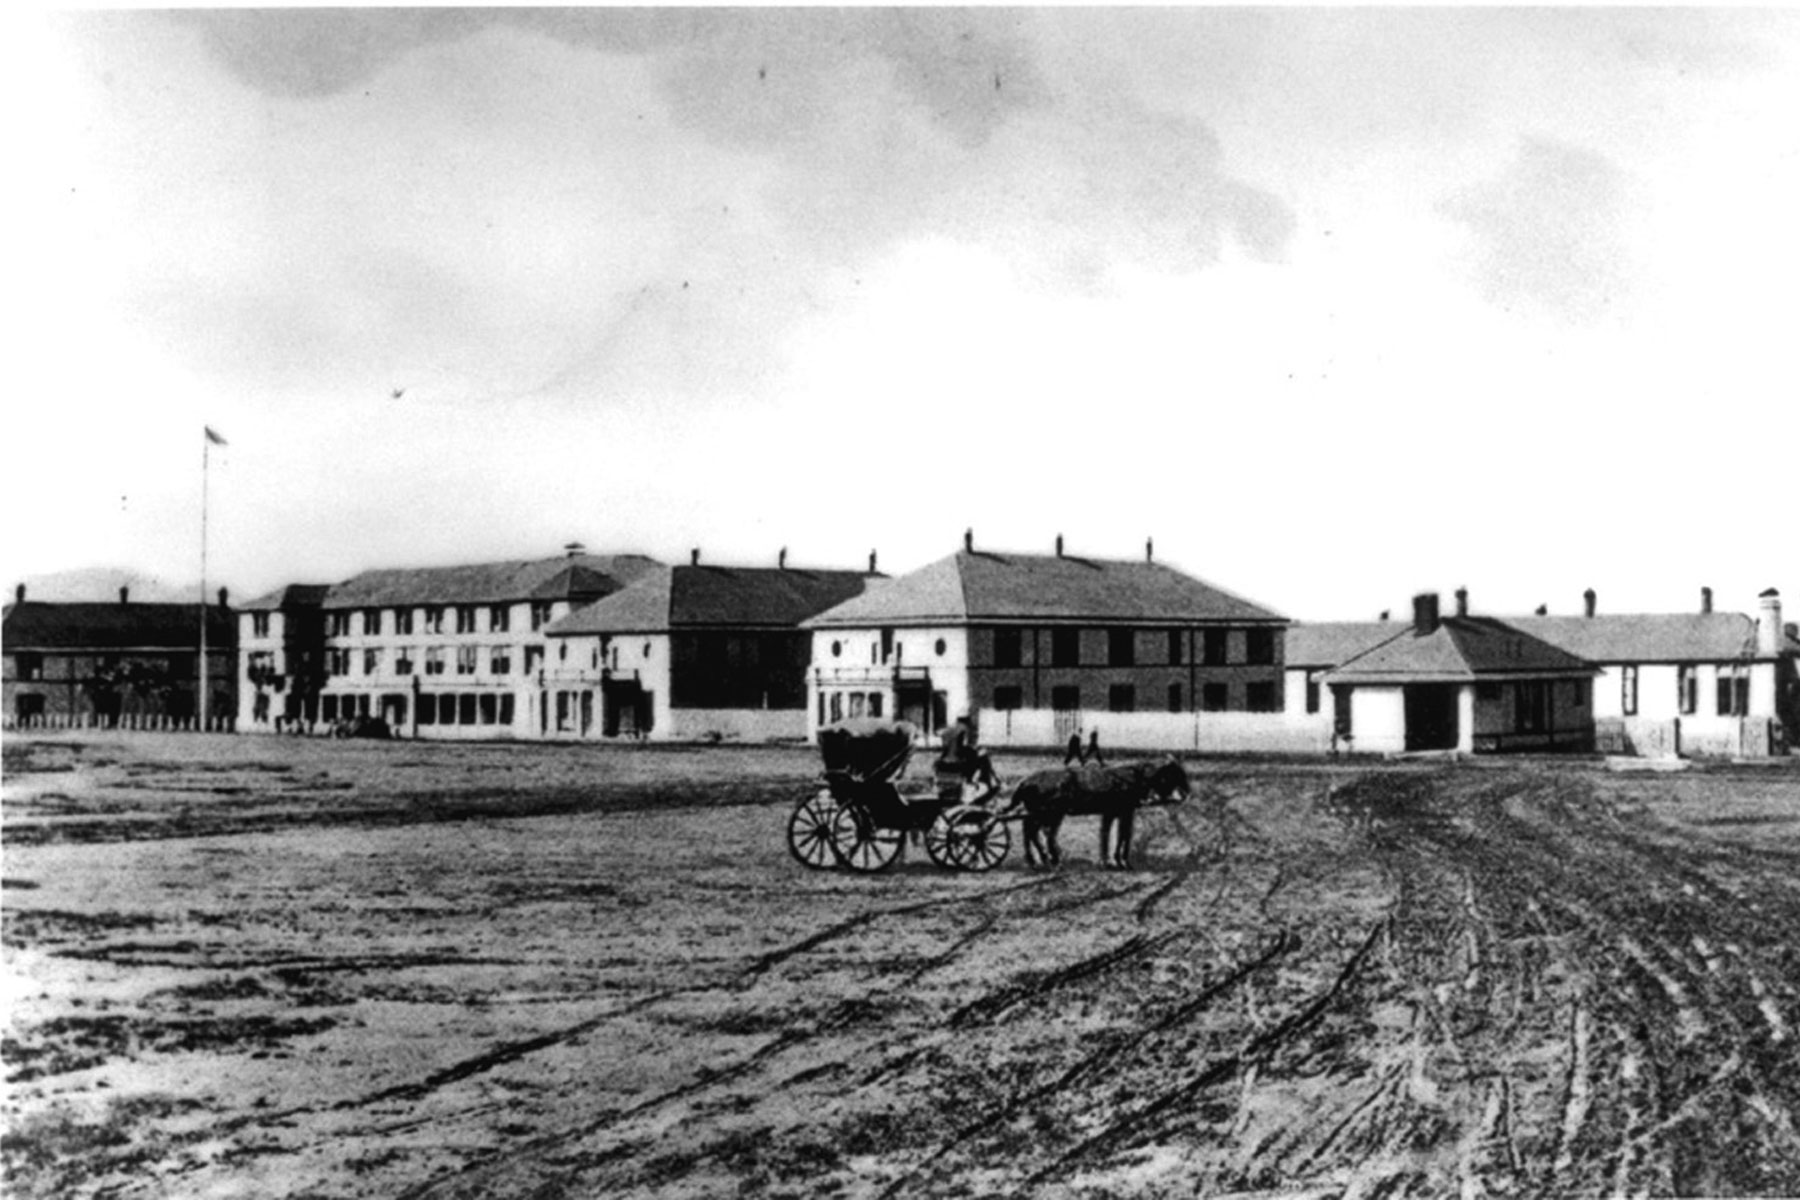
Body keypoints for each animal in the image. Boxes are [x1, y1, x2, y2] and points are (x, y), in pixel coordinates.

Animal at [1022, 766, 1188, 867]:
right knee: (1037, 833)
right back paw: (1049, 858)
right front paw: (1119, 861)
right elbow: (1120, 835)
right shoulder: (1122, 812)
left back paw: (1039, 859)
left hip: (1046, 815)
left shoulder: (1116, 813)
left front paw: (1111, 860)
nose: (1187, 792)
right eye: (1176, 773)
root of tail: (1027, 781)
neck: (1130, 780)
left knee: (1032, 832)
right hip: (1050, 814)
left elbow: (1114, 834)